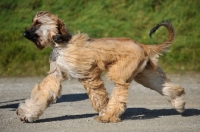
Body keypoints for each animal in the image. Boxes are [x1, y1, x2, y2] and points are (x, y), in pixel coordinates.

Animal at [16, 11, 185, 122]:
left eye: (38, 23)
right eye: (33, 21)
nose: (24, 34)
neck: (61, 43)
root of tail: (143, 46)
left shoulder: (88, 74)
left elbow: (98, 95)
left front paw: (103, 110)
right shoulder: (56, 74)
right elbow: (44, 90)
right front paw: (27, 114)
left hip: (121, 72)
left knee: (120, 91)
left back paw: (108, 116)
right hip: (144, 73)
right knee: (161, 85)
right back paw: (179, 102)